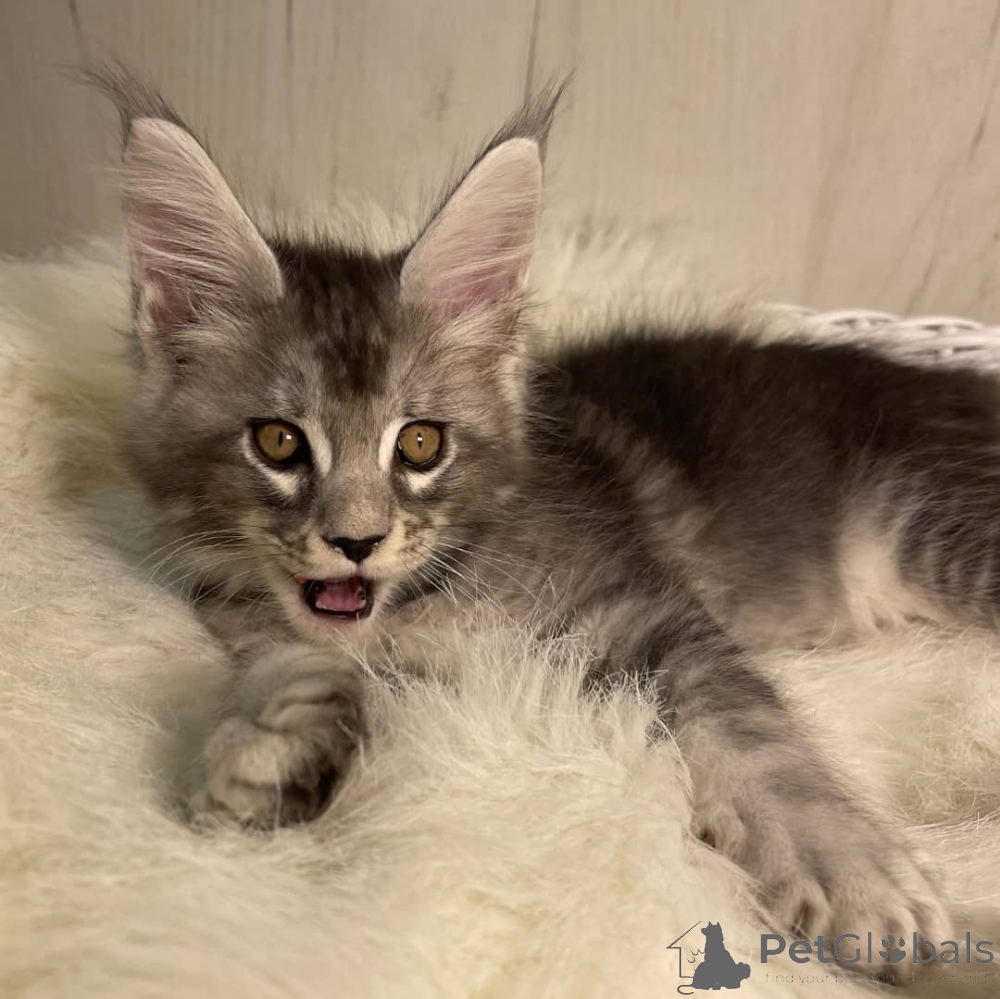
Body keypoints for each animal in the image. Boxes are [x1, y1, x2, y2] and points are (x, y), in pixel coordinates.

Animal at [92, 68, 985, 962]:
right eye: (278, 441)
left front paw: (853, 872)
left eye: (420, 443)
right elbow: (295, 663)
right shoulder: (254, 620)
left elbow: (752, 736)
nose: (357, 540)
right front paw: (268, 751)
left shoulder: (646, 609)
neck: (420, 607)